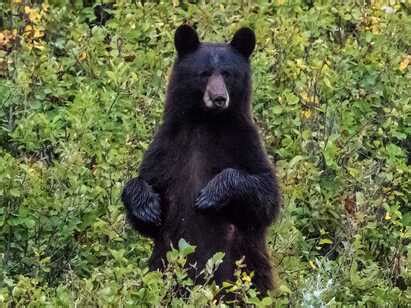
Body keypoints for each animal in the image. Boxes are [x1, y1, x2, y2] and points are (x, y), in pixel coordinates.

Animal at [122, 24, 282, 294]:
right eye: (204, 73)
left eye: (227, 73)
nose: (219, 98)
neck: (206, 122)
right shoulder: (168, 146)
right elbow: (147, 187)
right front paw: (147, 206)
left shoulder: (245, 143)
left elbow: (266, 194)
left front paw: (211, 194)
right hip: (162, 263)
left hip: (244, 267)